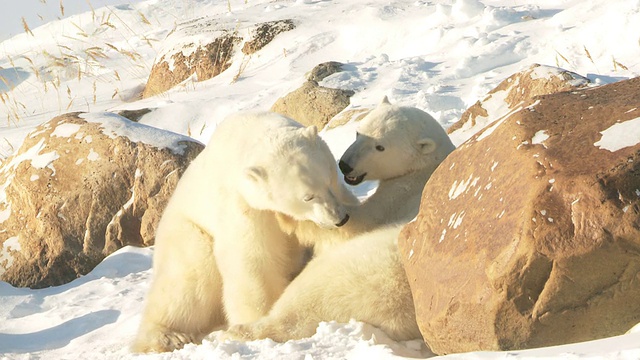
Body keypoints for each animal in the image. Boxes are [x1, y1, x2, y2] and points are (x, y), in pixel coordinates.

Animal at [132, 112, 358, 352]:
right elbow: (254, 259)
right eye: (308, 197)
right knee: (187, 281)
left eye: (329, 181)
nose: (340, 219)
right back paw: (168, 336)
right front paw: (257, 321)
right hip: (188, 233)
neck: (254, 131)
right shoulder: (243, 204)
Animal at [292, 95, 452, 252]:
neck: (422, 170)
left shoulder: (398, 197)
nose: (345, 165)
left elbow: (361, 221)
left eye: (380, 147)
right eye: (358, 133)